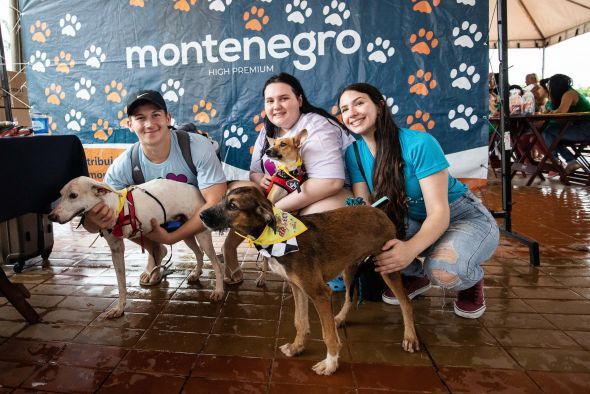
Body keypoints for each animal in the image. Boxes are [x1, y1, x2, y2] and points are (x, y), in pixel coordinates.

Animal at [48, 177, 224, 318]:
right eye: (61, 194)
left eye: (73, 195)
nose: (51, 216)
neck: (114, 206)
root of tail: (195, 189)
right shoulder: (116, 249)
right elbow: (121, 284)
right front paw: (119, 308)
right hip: (186, 233)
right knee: (199, 253)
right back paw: (195, 273)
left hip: (201, 234)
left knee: (216, 263)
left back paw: (219, 291)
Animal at [200, 187, 420, 376]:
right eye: (222, 199)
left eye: (233, 205)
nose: (201, 215)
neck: (275, 236)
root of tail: (379, 211)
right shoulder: (298, 287)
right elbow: (300, 321)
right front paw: (297, 347)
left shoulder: (319, 293)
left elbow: (327, 334)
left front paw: (330, 363)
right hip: (349, 268)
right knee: (350, 296)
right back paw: (340, 318)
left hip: (388, 265)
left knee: (405, 303)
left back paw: (410, 337)